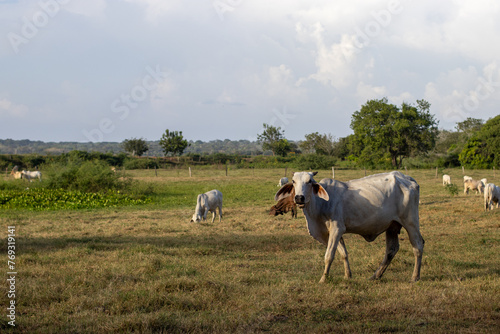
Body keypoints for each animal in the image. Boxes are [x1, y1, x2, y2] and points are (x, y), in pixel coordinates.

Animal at [276, 171, 424, 284]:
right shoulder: (333, 233)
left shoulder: (336, 229)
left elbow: (329, 255)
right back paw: (375, 276)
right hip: (392, 225)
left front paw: (323, 279)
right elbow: (343, 253)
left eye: (310, 181)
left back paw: (415, 277)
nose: (299, 198)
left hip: (410, 222)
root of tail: (407, 178)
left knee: (418, 245)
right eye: (294, 181)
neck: (320, 204)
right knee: (391, 249)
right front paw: (348, 275)